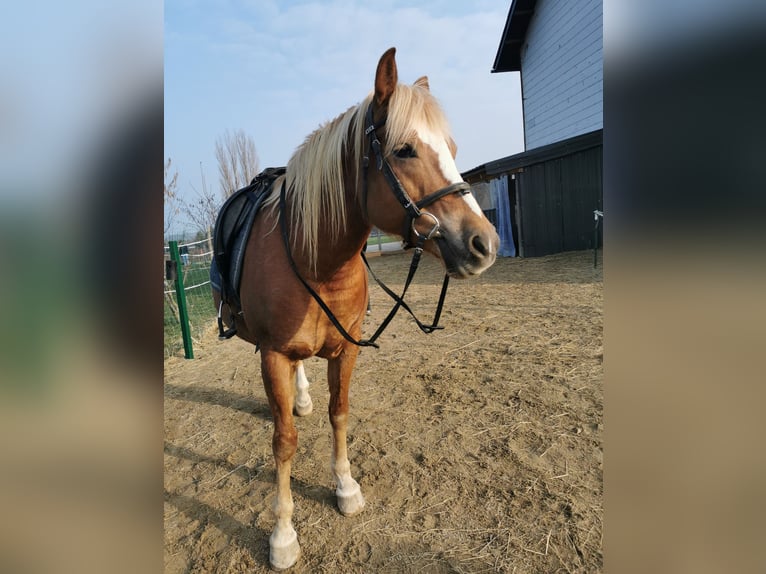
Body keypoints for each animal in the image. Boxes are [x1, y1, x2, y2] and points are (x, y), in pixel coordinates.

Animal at [213, 47, 500, 568]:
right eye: (405, 150)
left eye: (452, 147)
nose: (484, 244)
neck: (316, 259)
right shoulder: (273, 355)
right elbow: (284, 441)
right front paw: (283, 535)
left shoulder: (346, 351)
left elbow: (339, 412)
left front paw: (345, 487)